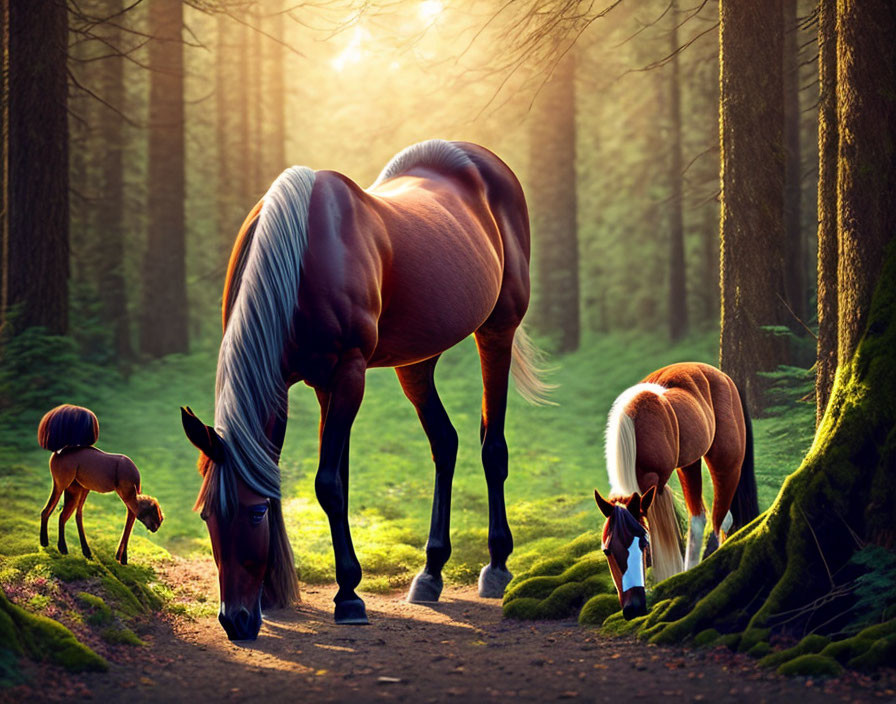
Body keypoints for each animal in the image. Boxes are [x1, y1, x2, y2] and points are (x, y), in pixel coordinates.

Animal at [182, 138, 544, 640]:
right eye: (206, 515)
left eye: (254, 514)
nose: (234, 620)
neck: (301, 260)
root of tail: (474, 156)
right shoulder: (301, 384)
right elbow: (325, 479)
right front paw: (283, 596)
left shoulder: (349, 374)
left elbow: (329, 485)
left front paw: (349, 597)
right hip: (417, 358)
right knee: (444, 443)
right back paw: (430, 572)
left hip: (497, 328)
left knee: (493, 447)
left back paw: (496, 566)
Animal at [596, 364, 756, 616]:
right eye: (607, 550)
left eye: (643, 544)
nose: (633, 608)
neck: (636, 429)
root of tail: (721, 375)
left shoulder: (656, 486)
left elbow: (664, 536)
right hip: (689, 464)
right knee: (700, 518)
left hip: (725, 463)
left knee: (720, 520)